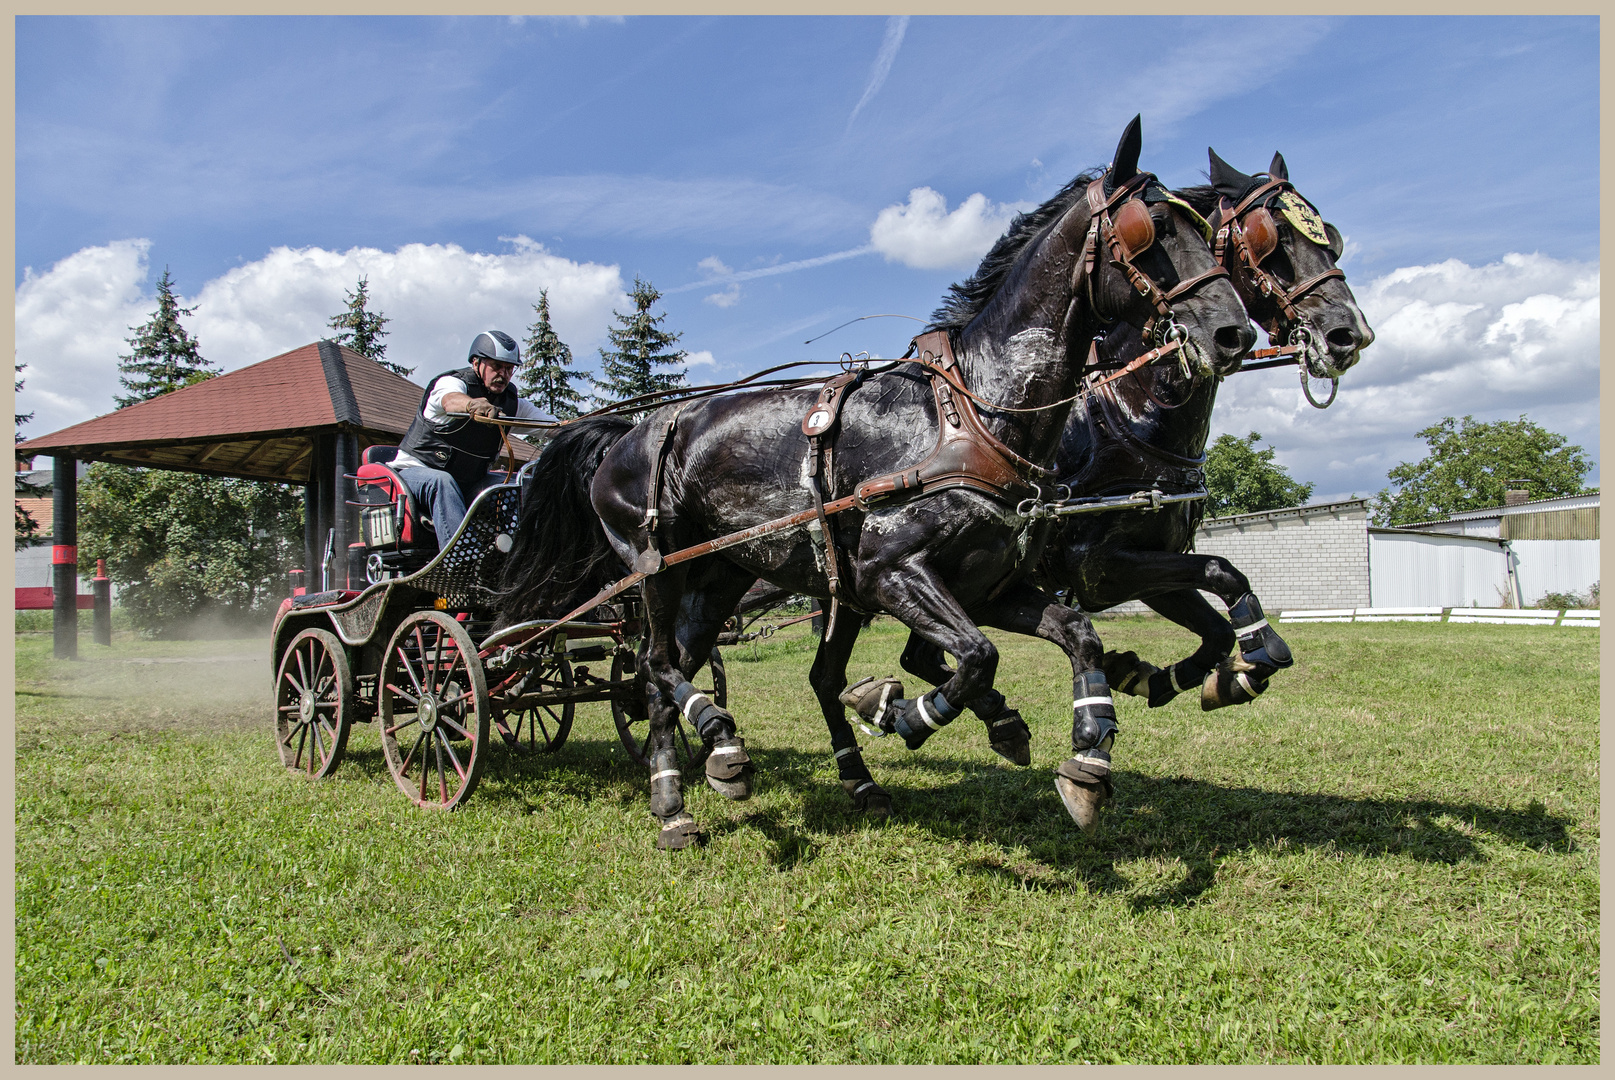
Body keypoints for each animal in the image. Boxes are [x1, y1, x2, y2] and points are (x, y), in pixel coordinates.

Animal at [500, 116, 1246, 839]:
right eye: (1150, 231)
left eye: (1207, 234)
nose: (1232, 332)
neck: (972, 413)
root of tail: (627, 433)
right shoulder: (892, 572)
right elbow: (977, 657)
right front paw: (905, 713)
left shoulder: (993, 584)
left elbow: (1075, 632)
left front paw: (1088, 753)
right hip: (655, 567)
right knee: (653, 663)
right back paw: (700, 764)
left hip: (721, 578)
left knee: (677, 674)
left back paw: (704, 780)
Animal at [897, 149, 1375, 723]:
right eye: (1273, 237)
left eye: (1331, 237)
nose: (1348, 334)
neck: (1128, 412)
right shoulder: (1098, 568)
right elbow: (1223, 570)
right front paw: (1249, 659)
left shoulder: (1152, 562)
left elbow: (1215, 620)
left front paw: (1162, 676)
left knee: (919, 655)